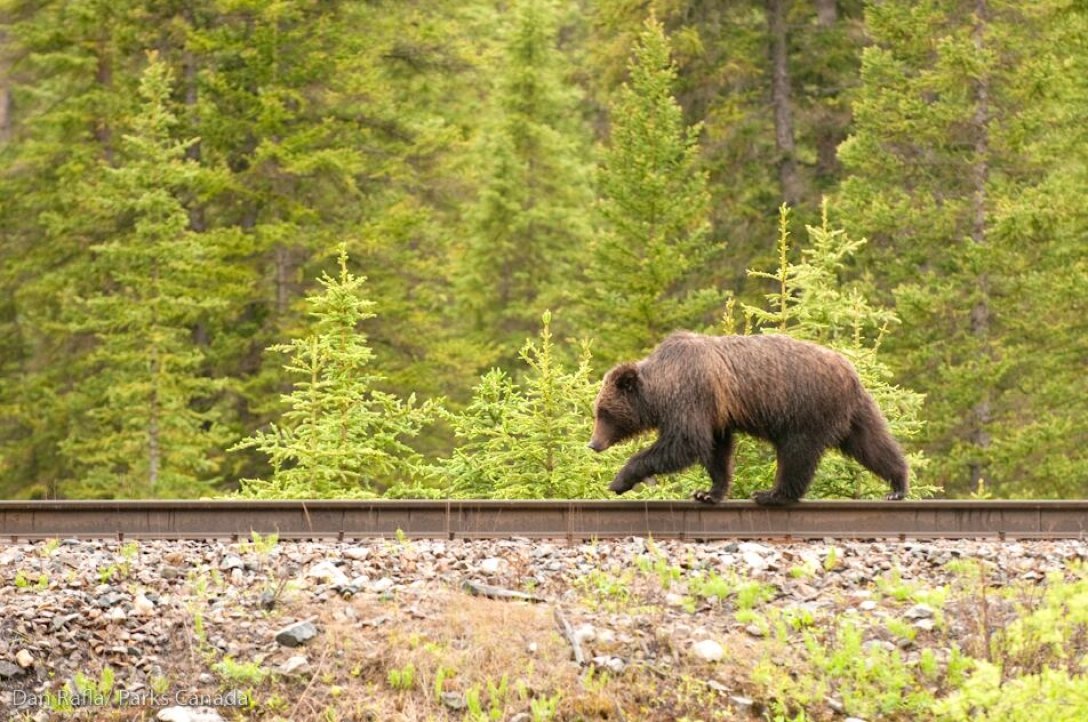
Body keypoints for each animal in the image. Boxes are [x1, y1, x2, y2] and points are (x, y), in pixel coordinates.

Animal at [587, 330, 909, 504]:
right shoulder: (715, 412)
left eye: (604, 413)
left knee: (797, 454)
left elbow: (685, 443)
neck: (663, 388)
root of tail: (851, 371)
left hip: (804, 409)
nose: (593, 444)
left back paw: (771, 494)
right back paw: (898, 486)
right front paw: (708, 492)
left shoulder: (691, 397)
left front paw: (619, 480)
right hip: (853, 412)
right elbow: (716, 449)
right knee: (872, 444)